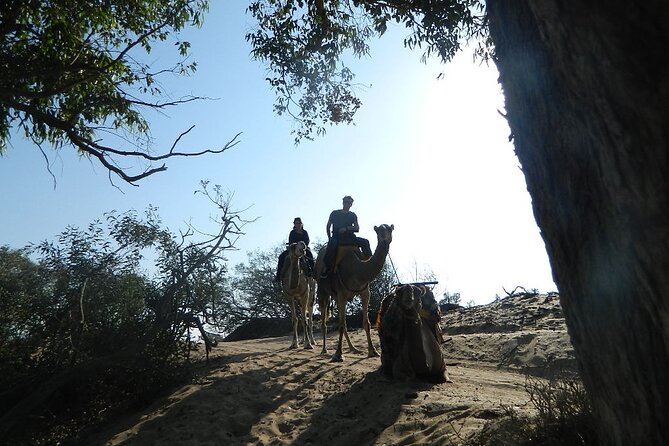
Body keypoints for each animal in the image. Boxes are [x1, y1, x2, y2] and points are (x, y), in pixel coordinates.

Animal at [316, 223, 394, 362]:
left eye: (390, 230)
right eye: (379, 231)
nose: (385, 239)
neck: (357, 270)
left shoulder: (365, 292)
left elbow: (366, 323)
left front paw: (373, 351)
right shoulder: (341, 294)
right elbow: (341, 325)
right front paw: (338, 355)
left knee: (343, 322)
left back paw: (353, 348)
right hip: (322, 292)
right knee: (325, 321)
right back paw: (324, 350)